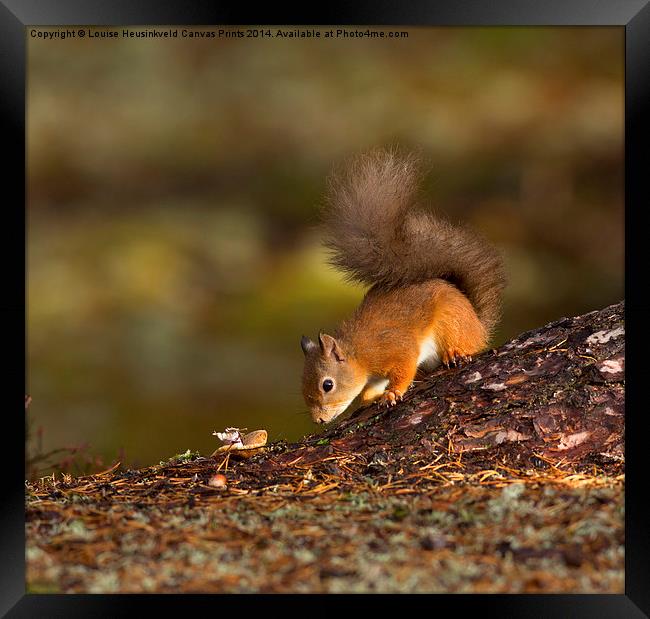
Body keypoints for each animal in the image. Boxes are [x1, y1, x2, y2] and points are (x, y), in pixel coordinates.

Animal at [300, 148, 506, 424]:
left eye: (327, 385)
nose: (319, 421)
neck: (359, 353)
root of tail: (478, 324)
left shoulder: (396, 349)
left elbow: (404, 368)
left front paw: (393, 392)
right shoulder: (375, 376)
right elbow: (370, 390)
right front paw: (371, 397)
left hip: (450, 321)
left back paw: (455, 352)